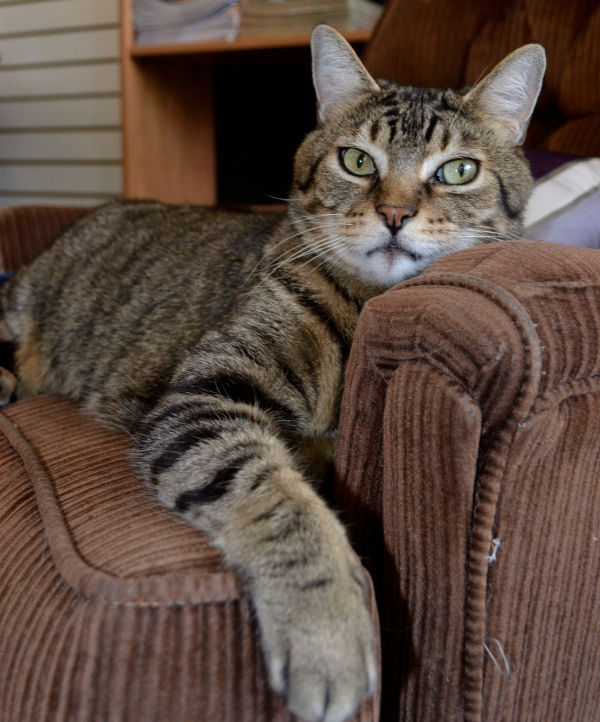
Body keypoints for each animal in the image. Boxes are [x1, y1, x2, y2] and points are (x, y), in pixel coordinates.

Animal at [0, 26, 544, 720]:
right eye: (358, 161)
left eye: (458, 170)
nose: (395, 214)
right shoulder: (204, 394)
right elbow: (281, 502)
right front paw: (328, 635)